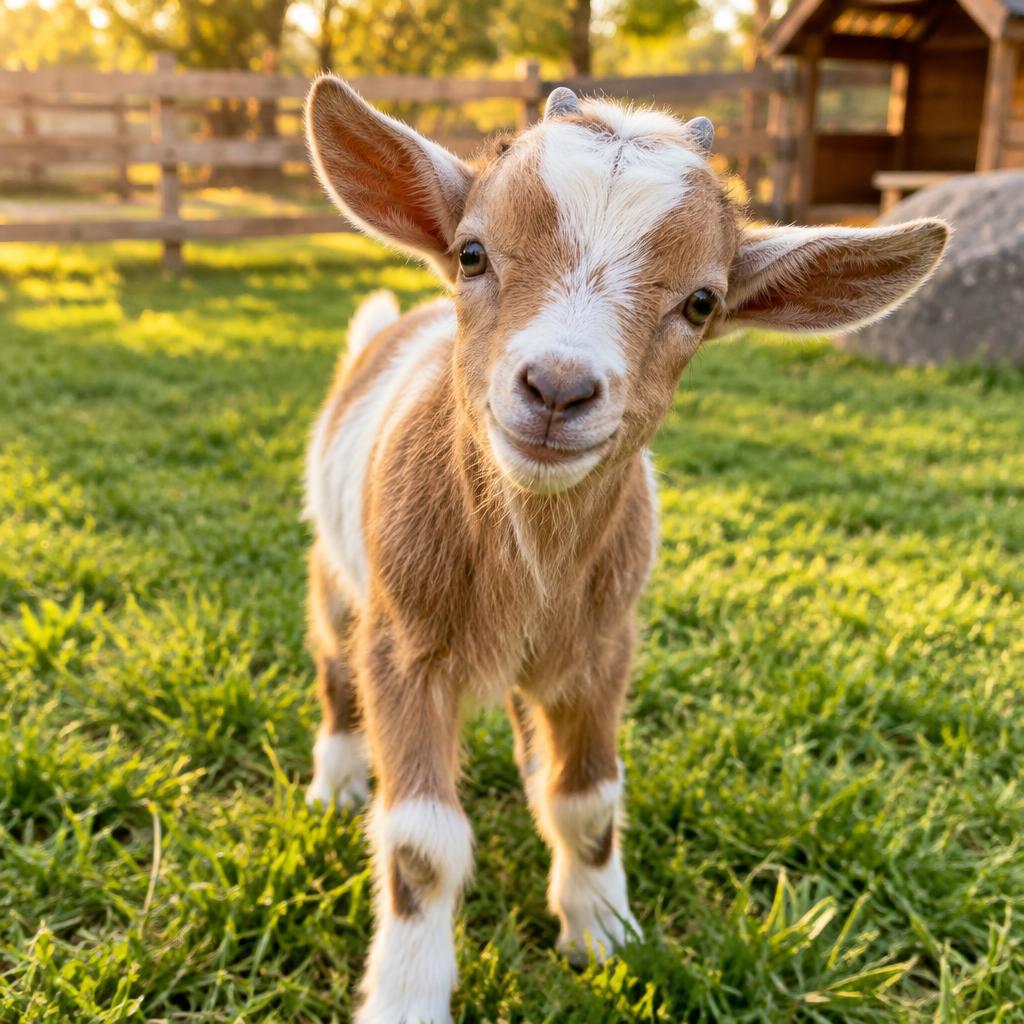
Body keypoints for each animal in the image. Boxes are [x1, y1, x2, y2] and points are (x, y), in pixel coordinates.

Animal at [301, 76, 948, 1023]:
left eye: (702, 303)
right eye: (472, 253)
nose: (557, 388)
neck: (528, 561)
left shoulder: (603, 649)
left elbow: (588, 800)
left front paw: (603, 931)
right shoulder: (406, 648)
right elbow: (421, 841)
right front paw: (407, 995)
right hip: (336, 573)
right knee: (333, 665)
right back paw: (339, 780)